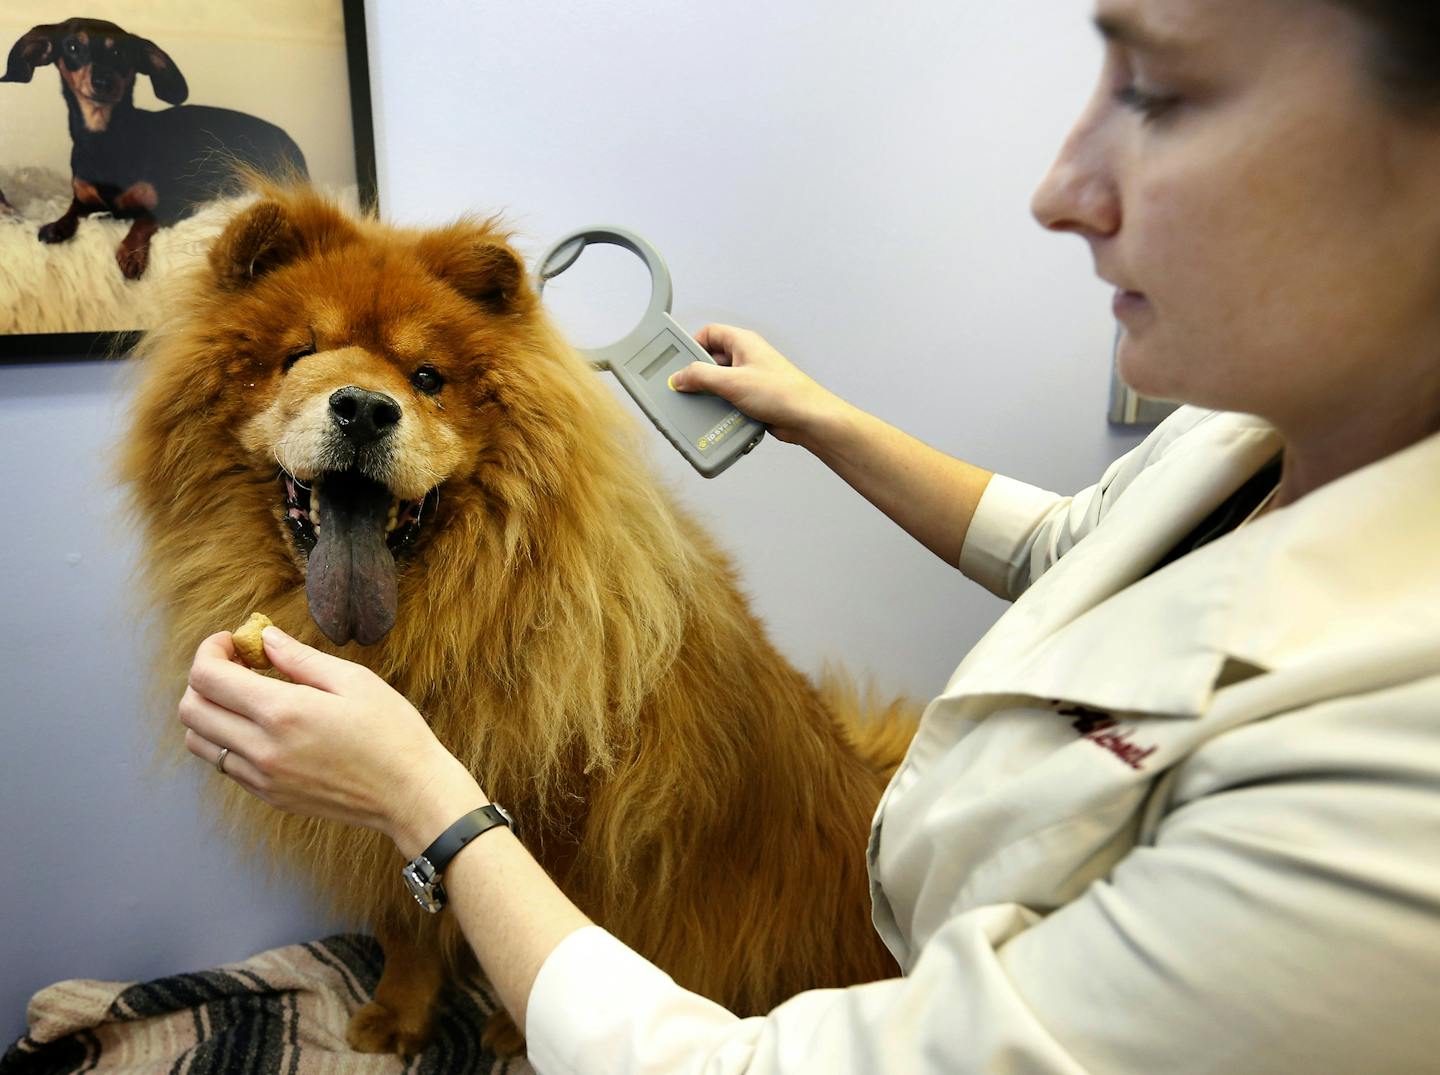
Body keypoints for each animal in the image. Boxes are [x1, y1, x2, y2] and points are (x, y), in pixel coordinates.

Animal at [120, 187, 910, 1059]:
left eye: (427, 377)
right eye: (300, 355)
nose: (363, 407)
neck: (424, 629)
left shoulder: (577, 814)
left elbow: (557, 914)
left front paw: (513, 1027)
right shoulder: (394, 828)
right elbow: (408, 925)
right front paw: (396, 1015)